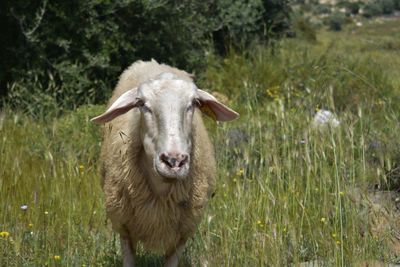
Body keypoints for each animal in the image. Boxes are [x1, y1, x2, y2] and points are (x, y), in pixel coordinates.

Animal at [92, 59, 239, 266]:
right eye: (141, 103)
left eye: (194, 103)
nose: (174, 161)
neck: (162, 190)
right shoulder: (124, 228)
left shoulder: (182, 235)